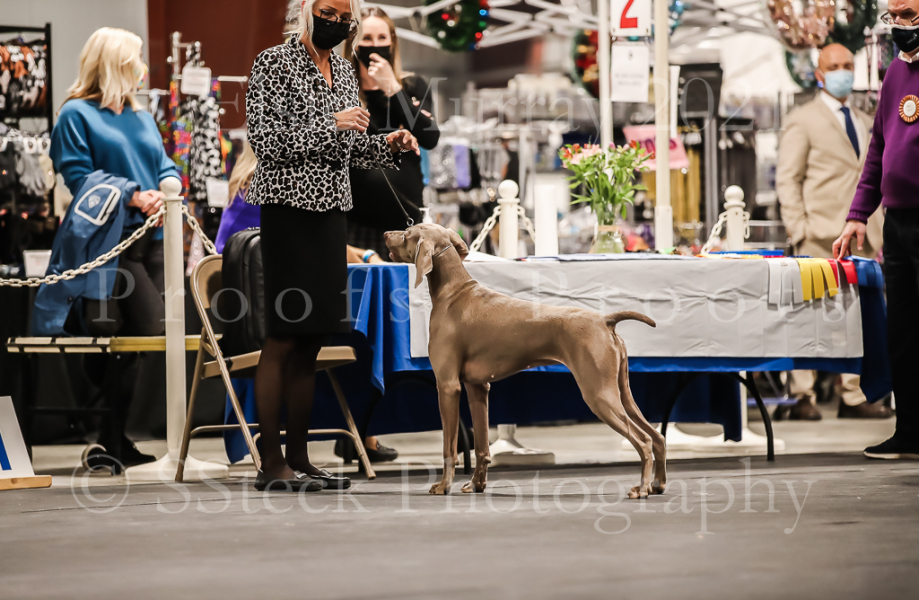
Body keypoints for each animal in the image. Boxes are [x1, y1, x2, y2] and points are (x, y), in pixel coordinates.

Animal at [385, 224, 666, 498]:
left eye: (408, 233)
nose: (386, 233)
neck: (454, 293)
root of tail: (605, 320)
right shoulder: (478, 387)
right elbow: (482, 446)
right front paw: (476, 484)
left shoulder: (447, 385)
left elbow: (449, 448)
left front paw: (444, 486)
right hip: (621, 392)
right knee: (657, 437)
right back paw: (658, 484)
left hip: (598, 394)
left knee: (643, 440)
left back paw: (641, 488)